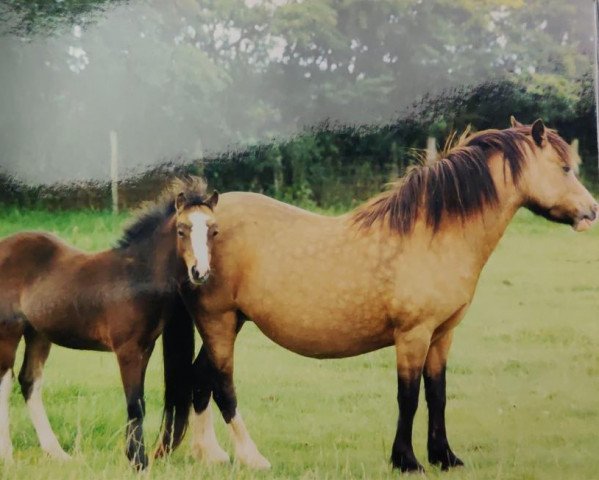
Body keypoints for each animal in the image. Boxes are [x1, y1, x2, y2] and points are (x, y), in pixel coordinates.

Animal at [0, 177, 218, 468]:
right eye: (182, 230)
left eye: (213, 231)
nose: (200, 272)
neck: (137, 275)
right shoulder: (127, 349)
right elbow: (135, 403)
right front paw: (139, 461)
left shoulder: (145, 347)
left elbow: (139, 401)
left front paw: (134, 456)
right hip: (8, 331)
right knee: (5, 382)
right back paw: (7, 454)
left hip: (37, 333)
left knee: (30, 381)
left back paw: (57, 453)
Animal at [169, 119, 599, 472]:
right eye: (565, 168)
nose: (592, 211)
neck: (433, 234)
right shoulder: (413, 335)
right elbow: (408, 397)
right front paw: (406, 460)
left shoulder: (442, 335)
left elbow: (437, 394)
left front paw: (444, 457)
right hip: (219, 322)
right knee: (223, 385)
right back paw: (250, 457)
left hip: (228, 323)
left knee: (200, 378)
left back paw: (209, 455)